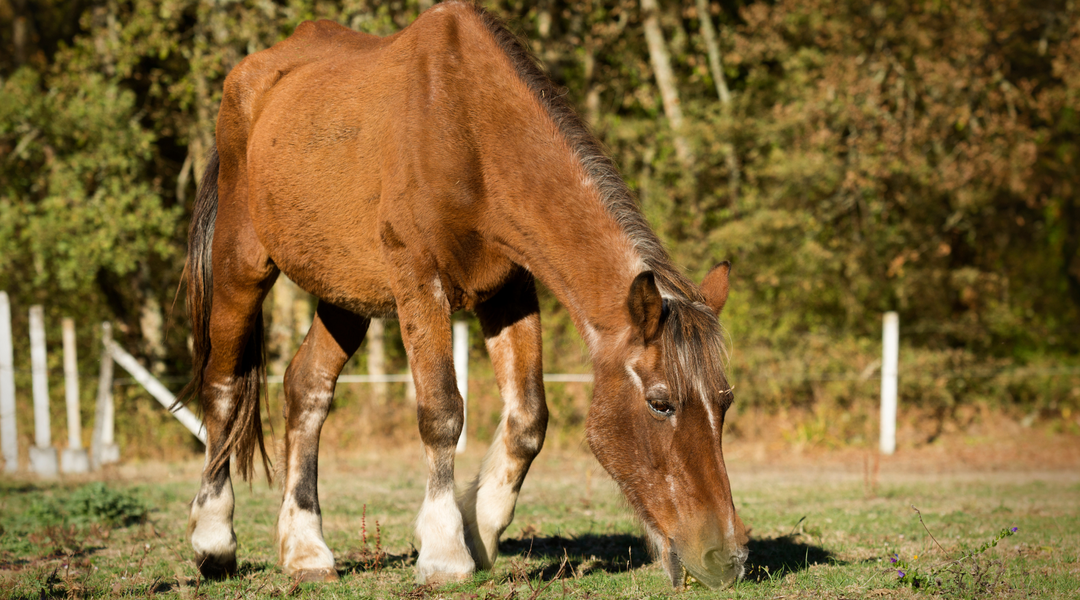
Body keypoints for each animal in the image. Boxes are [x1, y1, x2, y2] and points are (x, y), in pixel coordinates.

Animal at [181, 1, 747, 589]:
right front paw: (444, 552)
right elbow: (442, 412)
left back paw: (306, 550)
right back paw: (213, 540)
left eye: (725, 402)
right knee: (223, 388)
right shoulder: (418, 281)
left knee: (307, 390)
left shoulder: (509, 291)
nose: (726, 558)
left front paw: (479, 530)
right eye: (661, 403)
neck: (469, 128)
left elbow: (528, 418)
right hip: (242, 263)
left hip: (345, 294)